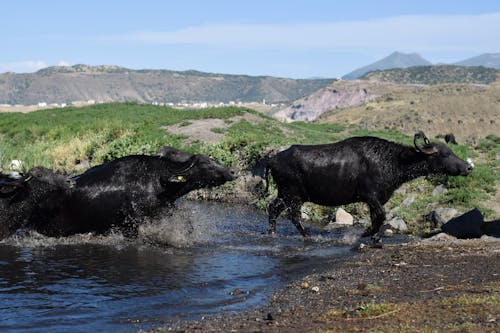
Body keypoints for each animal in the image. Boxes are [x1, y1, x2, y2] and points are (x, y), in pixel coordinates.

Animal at [264, 131, 470, 237]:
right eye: (445, 154)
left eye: (451, 151)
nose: (468, 167)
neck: (391, 160)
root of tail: (273, 158)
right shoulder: (370, 196)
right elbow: (381, 216)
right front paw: (370, 236)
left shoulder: (376, 200)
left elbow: (375, 218)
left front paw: (372, 236)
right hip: (293, 196)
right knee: (293, 216)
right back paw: (307, 236)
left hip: (284, 194)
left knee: (273, 208)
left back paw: (272, 233)